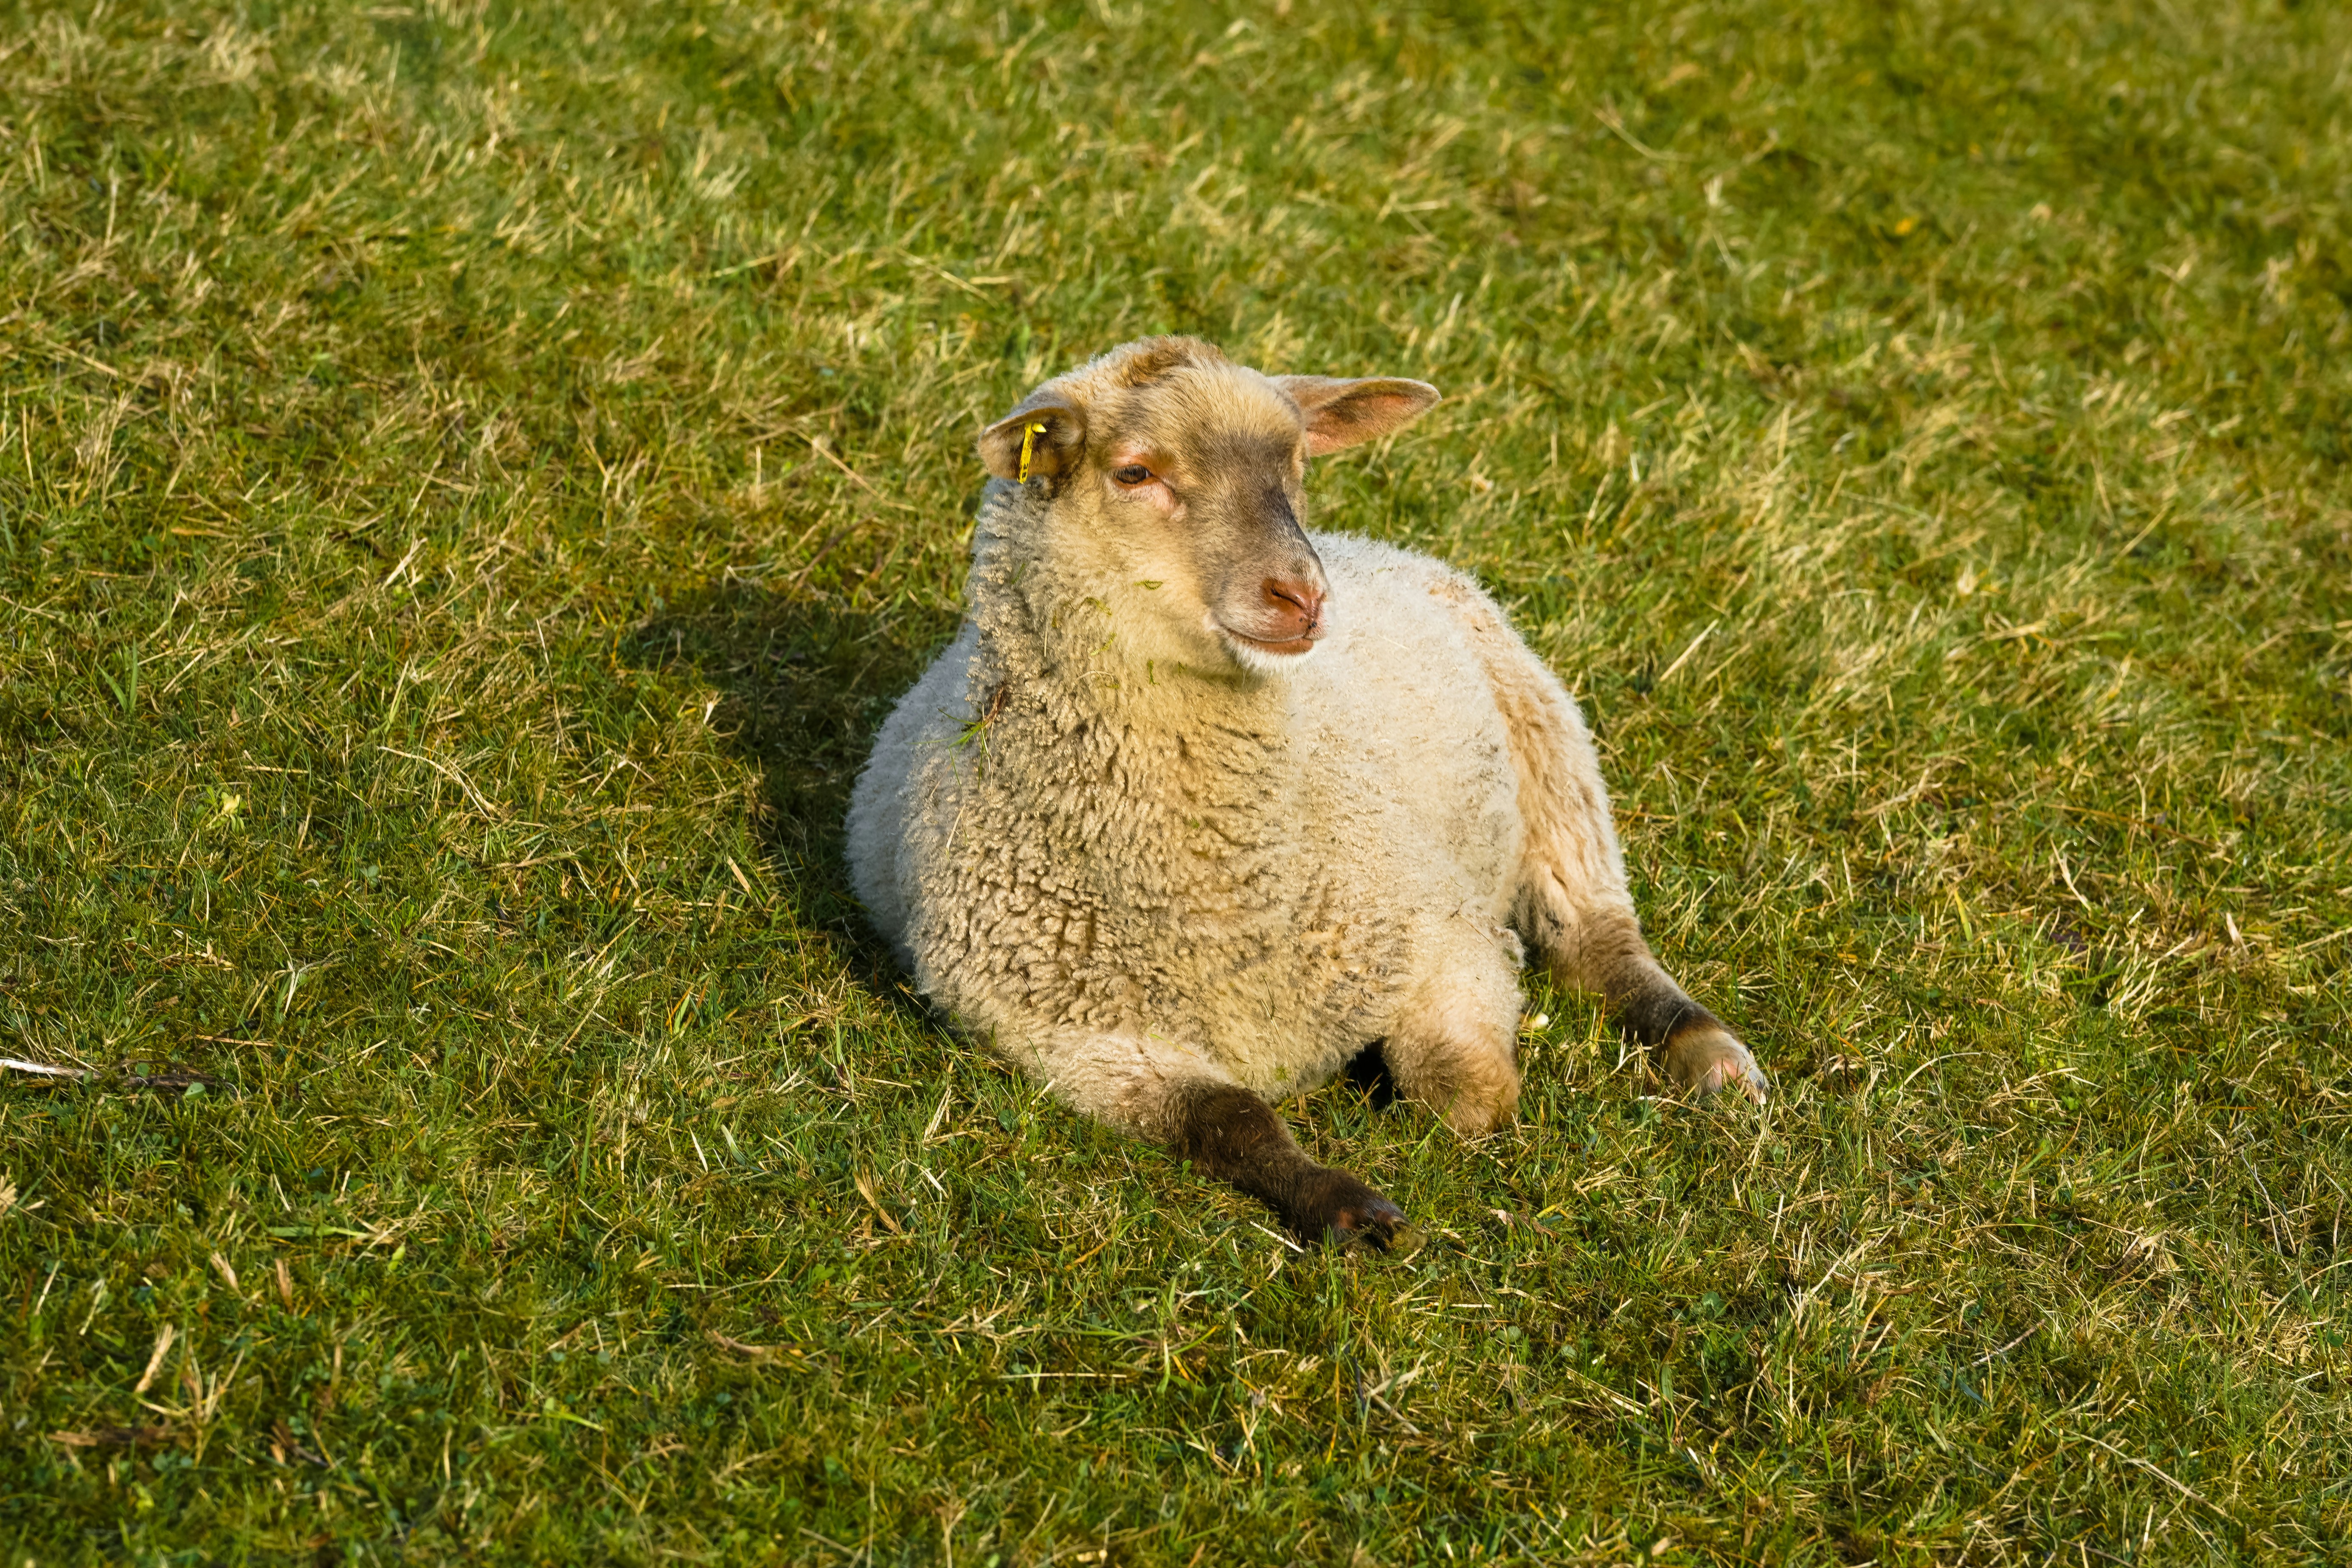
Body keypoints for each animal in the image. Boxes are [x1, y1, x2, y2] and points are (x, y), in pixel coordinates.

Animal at [846, 336, 1765, 1246]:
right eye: (1135, 472)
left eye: (1294, 462)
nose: (1302, 593)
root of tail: (1369, 544)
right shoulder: (1068, 1038)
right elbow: (1228, 1118)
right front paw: (1346, 1207)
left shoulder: (1440, 937)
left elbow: (1464, 1093)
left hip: (1550, 749)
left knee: (1599, 940)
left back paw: (1712, 1055)